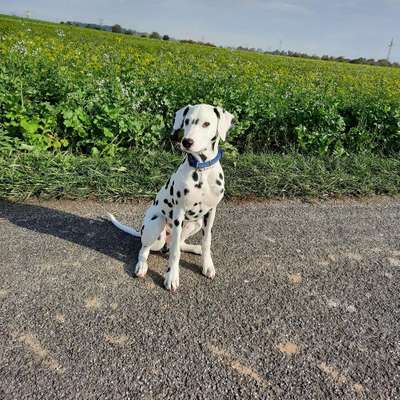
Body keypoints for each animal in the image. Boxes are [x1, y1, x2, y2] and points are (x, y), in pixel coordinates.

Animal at [108, 103, 236, 290]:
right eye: (187, 121)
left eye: (206, 124)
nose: (186, 142)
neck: (202, 170)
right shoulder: (178, 214)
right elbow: (175, 253)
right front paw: (172, 276)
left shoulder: (210, 213)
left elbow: (207, 242)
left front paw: (207, 265)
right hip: (157, 225)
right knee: (146, 249)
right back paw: (142, 266)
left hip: (196, 223)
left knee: (177, 244)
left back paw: (195, 248)